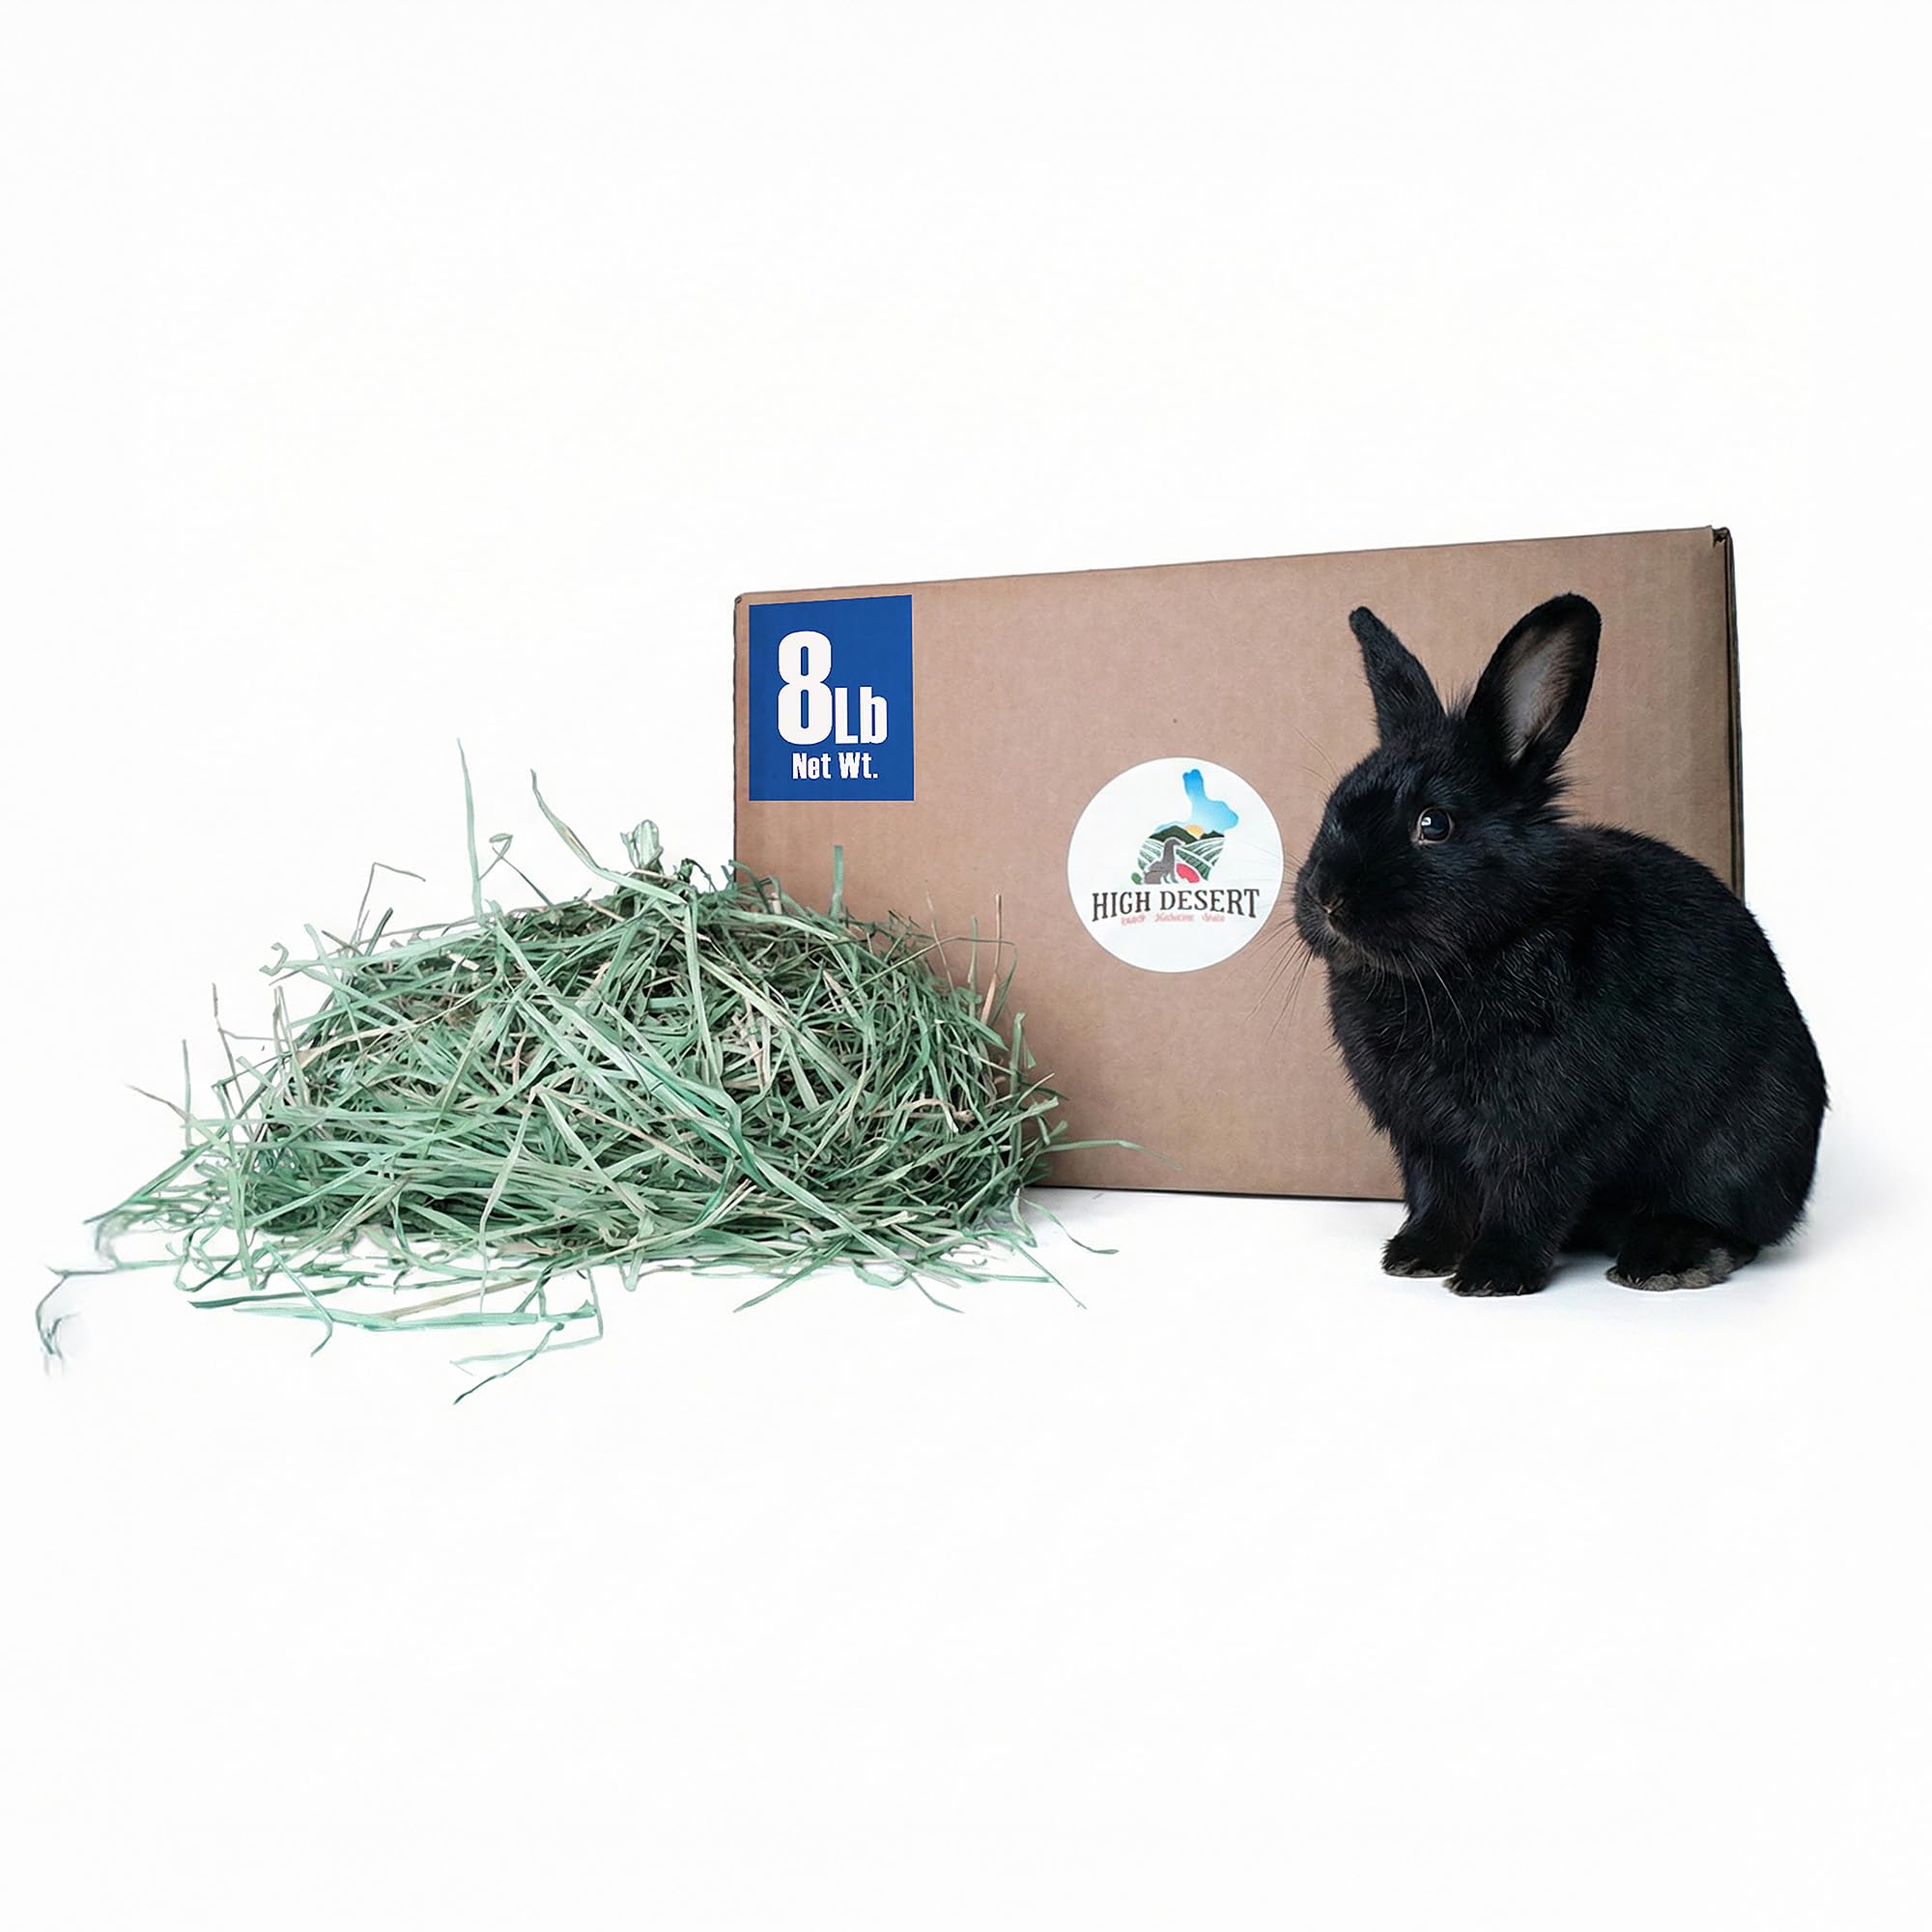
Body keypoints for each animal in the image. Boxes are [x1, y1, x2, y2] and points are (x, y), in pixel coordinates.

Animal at [1292, 593, 1825, 1296]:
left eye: (1434, 824)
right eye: (1334, 808)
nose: (1326, 898)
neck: (1469, 960)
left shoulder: (1549, 1129)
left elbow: (1527, 1199)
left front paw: (1491, 1275)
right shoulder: (1424, 1138)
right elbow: (1438, 1195)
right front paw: (1414, 1257)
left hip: (1738, 1149)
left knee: (1738, 1227)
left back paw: (1668, 1261)